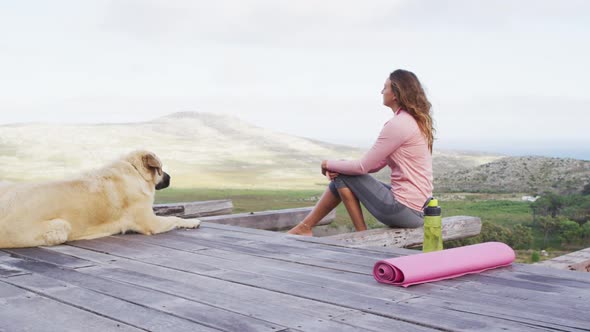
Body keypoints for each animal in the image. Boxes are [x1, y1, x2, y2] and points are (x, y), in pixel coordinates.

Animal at [0, 149, 201, 248]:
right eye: (160, 168)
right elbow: (175, 217)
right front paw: (192, 222)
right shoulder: (152, 223)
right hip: (61, 226)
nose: (170, 178)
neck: (134, 171)